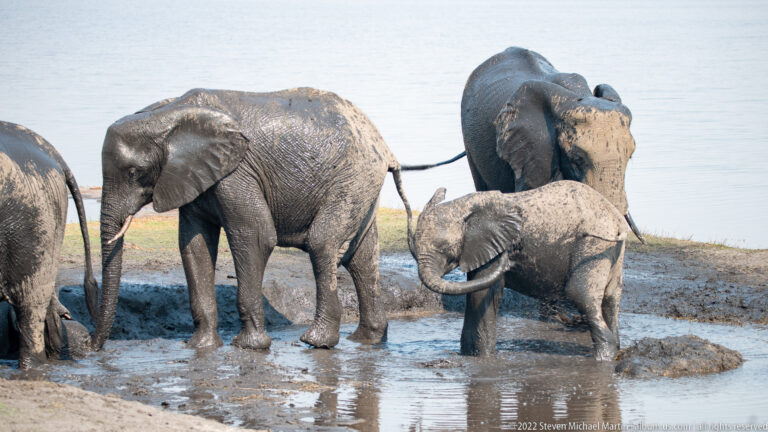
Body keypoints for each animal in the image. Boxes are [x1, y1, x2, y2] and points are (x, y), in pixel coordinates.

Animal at [92, 87, 413, 352]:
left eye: (133, 173)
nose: (93, 347)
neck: (169, 113)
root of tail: (385, 147)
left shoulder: (236, 171)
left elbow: (256, 235)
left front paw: (249, 346)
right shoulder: (192, 176)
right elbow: (194, 246)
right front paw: (200, 347)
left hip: (352, 179)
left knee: (323, 244)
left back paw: (316, 342)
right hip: (362, 184)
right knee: (362, 257)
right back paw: (366, 340)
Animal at [408, 181, 628, 360]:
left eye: (444, 248)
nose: (512, 254)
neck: (461, 206)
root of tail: (617, 219)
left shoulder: (490, 247)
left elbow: (483, 295)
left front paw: (482, 360)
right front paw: (467, 356)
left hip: (593, 245)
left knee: (579, 294)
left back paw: (604, 357)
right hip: (611, 252)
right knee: (611, 298)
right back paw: (615, 349)